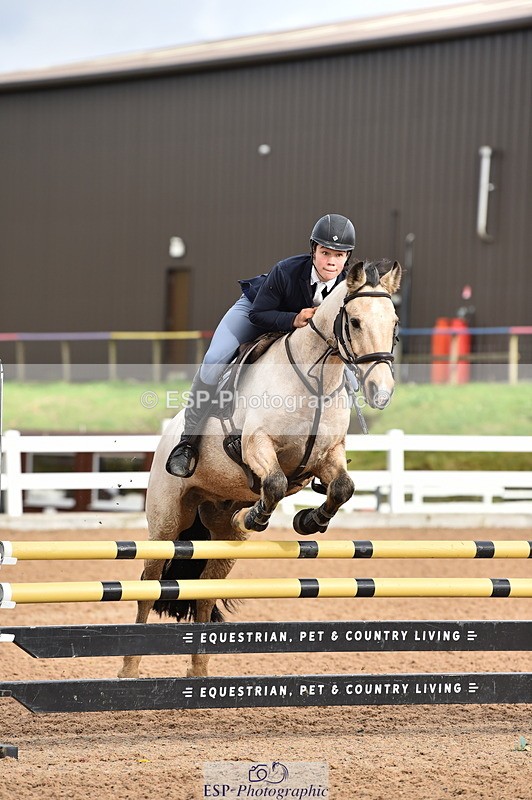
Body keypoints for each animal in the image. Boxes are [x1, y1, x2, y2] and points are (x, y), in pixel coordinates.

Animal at [118, 258, 401, 679]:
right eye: (354, 322)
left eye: (394, 322)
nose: (381, 392)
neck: (316, 381)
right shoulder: (256, 445)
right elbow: (275, 481)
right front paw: (259, 516)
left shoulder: (328, 456)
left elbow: (342, 488)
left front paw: (309, 521)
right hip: (166, 523)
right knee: (148, 587)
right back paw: (129, 668)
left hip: (223, 536)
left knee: (205, 592)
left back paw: (199, 674)